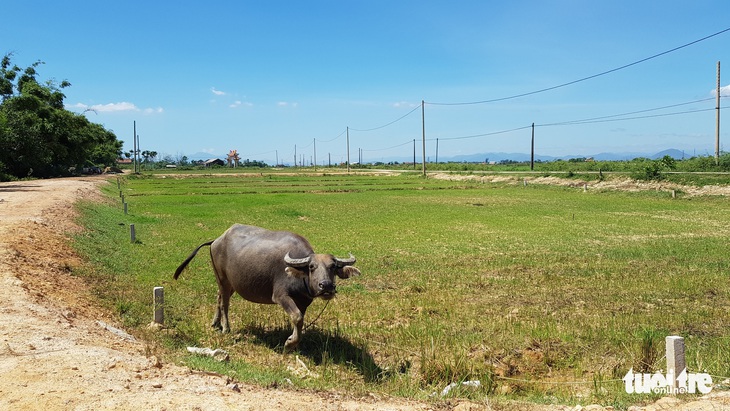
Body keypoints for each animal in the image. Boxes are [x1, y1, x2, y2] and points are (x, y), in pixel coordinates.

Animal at [173, 225, 362, 350]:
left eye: (333, 267)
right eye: (312, 267)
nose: (326, 286)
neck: (299, 276)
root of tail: (216, 240)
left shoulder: (303, 302)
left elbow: (299, 319)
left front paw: (294, 340)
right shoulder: (280, 296)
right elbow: (296, 317)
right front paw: (290, 343)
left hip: (232, 283)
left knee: (218, 297)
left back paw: (215, 323)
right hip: (223, 279)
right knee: (225, 302)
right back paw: (226, 327)